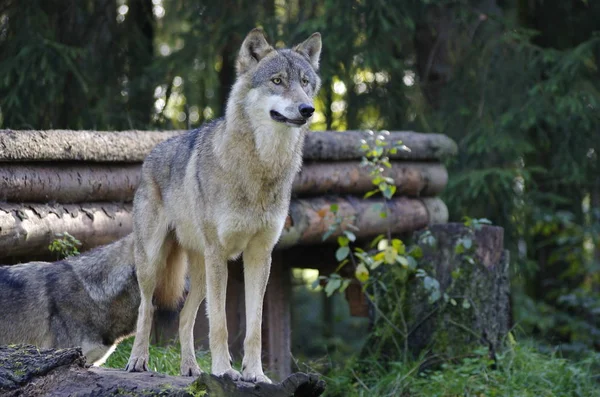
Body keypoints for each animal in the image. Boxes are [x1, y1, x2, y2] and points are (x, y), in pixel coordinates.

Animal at [125, 27, 324, 380]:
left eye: (305, 82)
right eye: (277, 81)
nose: (307, 109)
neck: (261, 168)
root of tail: (150, 154)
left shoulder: (260, 254)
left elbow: (255, 328)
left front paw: (255, 374)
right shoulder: (220, 253)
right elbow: (219, 323)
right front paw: (223, 370)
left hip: (200, 272)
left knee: (184, 318)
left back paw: (191, 369)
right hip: (154, 262)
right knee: (146, 309)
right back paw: (138, 361)